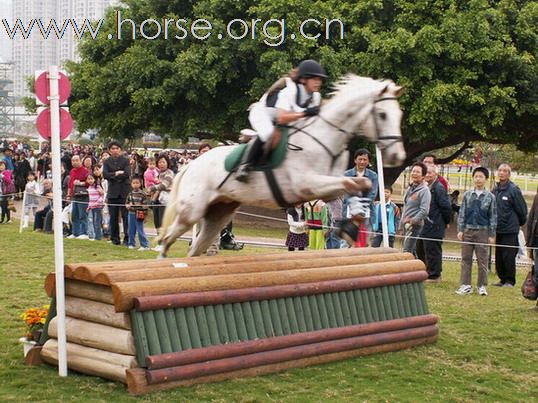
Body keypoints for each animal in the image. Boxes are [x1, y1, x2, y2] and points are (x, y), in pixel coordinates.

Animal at [157, 75, 404, 258]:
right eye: (383, 115)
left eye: (399, 114)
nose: (397, 156)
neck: (325, 137)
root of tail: (190, 165)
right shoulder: (307, 185)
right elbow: (352, 184)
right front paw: (349, 226)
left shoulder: (330, 185)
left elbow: (358, 185)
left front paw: (350, 226)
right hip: (191, 211)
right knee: (167, 239)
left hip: (218, 214)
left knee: (195, 248)